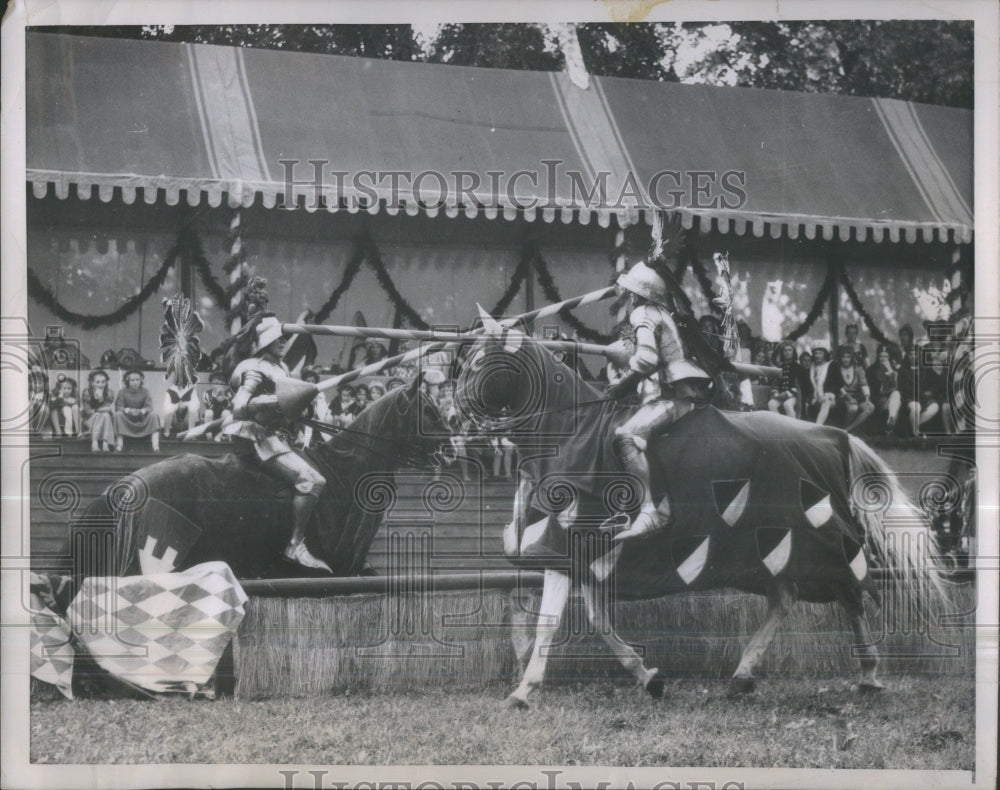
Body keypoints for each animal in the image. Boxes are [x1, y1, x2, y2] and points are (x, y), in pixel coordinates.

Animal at [454, 322, 952, 712]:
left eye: (481, 362)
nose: (455, 415)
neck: (570, 430)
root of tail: (834, 436)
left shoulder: (566, 548)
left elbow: (549, 622)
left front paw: (523, 691)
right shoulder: (587, 559)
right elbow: (599, 622)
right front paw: (648, 677)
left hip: (819, 542)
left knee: (848, 595)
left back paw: (866, 672)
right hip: (777, 549)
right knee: (788, 598)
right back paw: (747, 675)